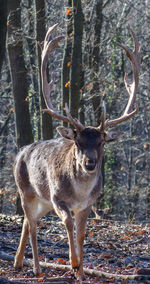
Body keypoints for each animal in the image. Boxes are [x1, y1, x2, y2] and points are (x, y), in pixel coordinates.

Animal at [13, 24, 141, 282]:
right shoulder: (57, 197)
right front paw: (73, 263)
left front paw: (81, 272)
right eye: (78, 142)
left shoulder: (88, 204)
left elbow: (82, 233)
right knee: (32, 225)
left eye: (102, 142)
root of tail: (20, 152)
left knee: (27, 223)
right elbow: (68, 223)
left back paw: (18, 262)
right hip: (26, 191)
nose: (89, 163)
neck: (79, 193)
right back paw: (37, 268)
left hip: (42, 201)